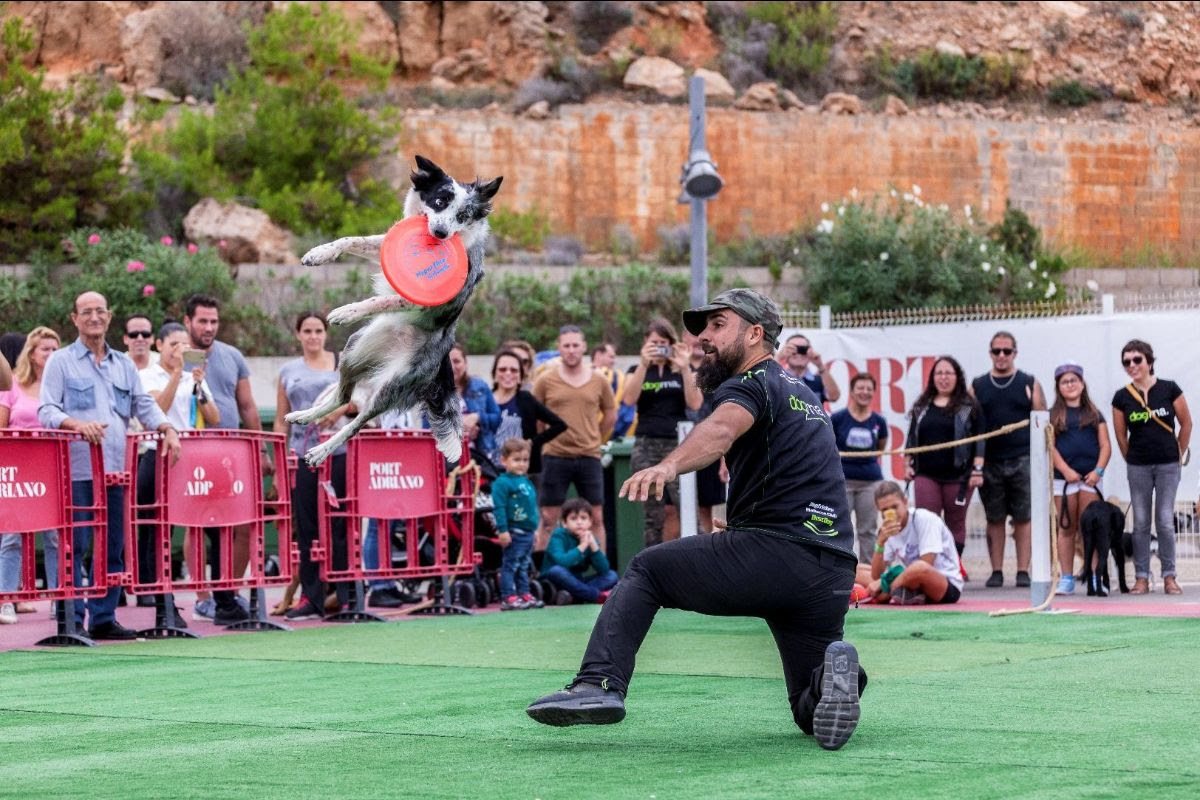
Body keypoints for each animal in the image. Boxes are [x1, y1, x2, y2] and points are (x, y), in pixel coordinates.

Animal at [289, 155, 501, 465]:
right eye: (439, 201)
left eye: (463, 215)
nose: (440, 233)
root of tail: (442, 358)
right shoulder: (382, 243)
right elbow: (353, 239)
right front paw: (319, 252)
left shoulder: (424, 297)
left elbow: (384, 300)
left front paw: (348, 311)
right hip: (354, 349)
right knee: (343, 398)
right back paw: (304, 415)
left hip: (391, 386)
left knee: (357, 423)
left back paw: (320, 451)